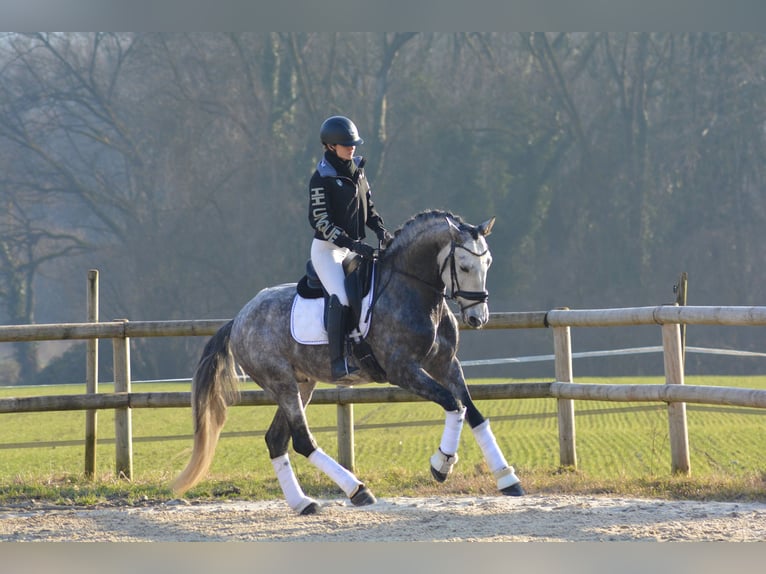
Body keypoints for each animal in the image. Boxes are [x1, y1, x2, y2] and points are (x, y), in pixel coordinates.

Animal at [172, 209, 524, 516]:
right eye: (463, 266)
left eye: (488, 262)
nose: (478, 318)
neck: (414, 290)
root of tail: (239, 318)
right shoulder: (404, 371)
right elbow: (454, 404)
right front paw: (441, 465)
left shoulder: (446, 365)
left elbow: (474, 413)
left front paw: (508, 479)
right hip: (281, 383)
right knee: (302, 440)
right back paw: (357, 490)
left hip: (302, 383)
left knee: (276, 440)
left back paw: (304, 503)